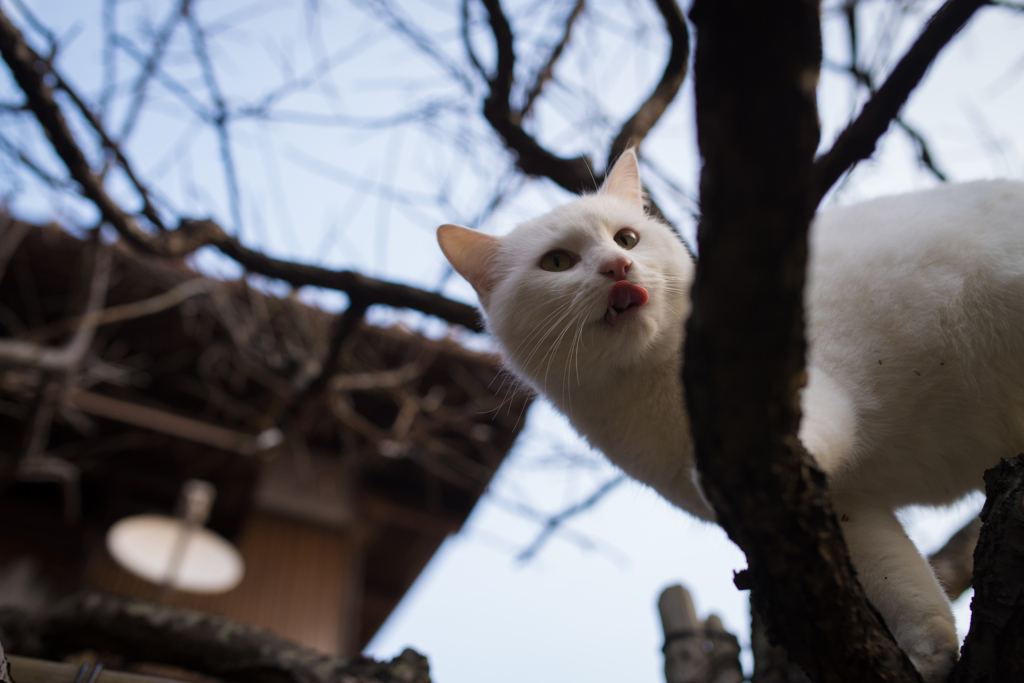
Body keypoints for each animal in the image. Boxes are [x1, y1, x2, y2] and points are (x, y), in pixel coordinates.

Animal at [436, 150, 1024, 683]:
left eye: (626, 240)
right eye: (557, 263)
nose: (616, 266)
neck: (650, 397)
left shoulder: (806, 399)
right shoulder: (850, 509)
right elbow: (900, 582)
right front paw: (930, 658)